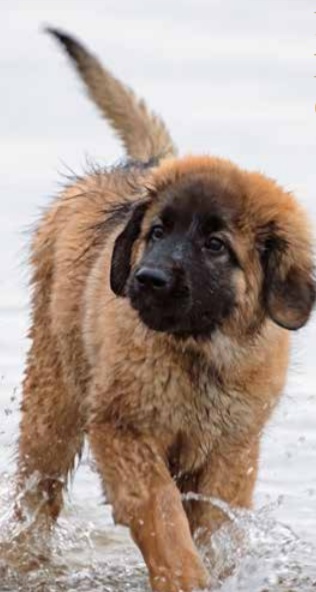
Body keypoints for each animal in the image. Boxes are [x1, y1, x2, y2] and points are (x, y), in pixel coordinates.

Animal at [16, 26, 314, 592]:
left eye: (215, 246)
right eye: (157, 232)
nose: (146, 279)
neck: (199, 355)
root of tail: (145, 164)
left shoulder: (231, 452)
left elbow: (213, 525)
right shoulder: (123, 432)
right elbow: (162, 516)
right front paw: (186, 576)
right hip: (53, 400)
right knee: (35, 493)